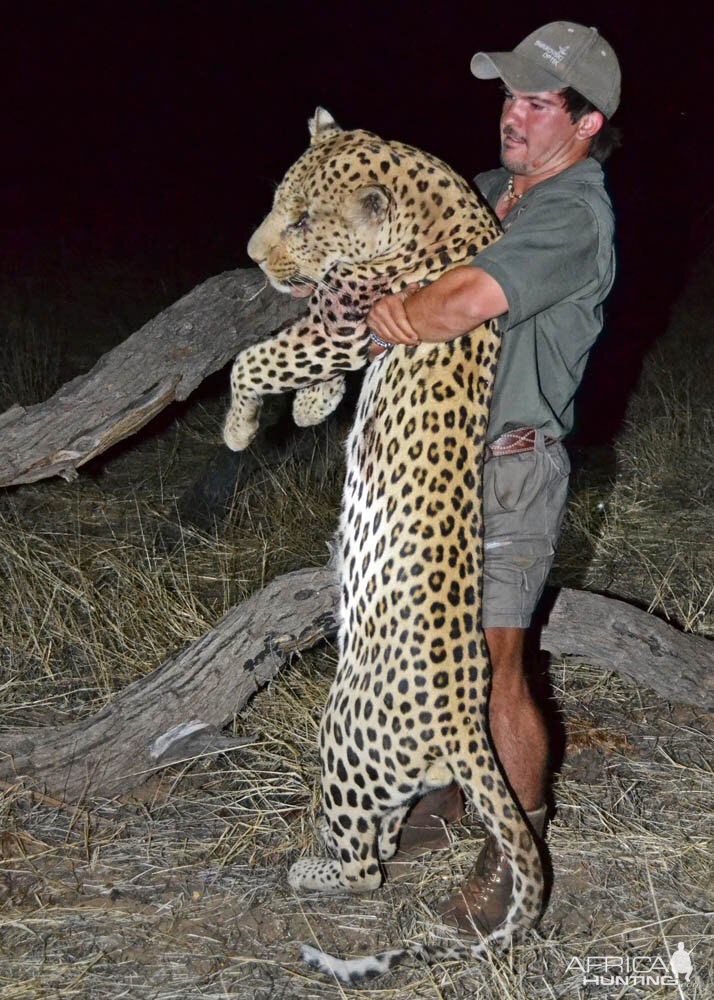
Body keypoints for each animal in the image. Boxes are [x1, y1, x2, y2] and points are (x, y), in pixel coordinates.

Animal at [225, 107, 544, 984]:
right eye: (279, 202)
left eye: (303, 219)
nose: (253, 256)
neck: (427, 195)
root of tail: (464, 725)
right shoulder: (344, 331)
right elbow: (299, 369)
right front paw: (310, 407)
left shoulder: (350, 321)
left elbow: (254, 358)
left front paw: (241, 425)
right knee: (387, 833)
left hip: (343, 732)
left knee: (367, 864)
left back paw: (313, 870)